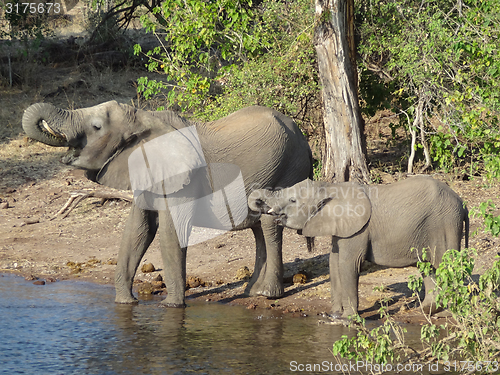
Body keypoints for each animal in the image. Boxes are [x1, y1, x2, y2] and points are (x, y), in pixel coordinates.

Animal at [24, 100, 312, 306]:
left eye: (96, 127)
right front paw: (125, 303)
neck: (145, 118)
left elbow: (170, 233)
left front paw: (171, 307)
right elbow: (137, 231)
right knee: (258, 230)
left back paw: (268, 295)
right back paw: (252, 292)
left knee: (269, 226)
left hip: (287, 169)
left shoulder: (183, 180)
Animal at [249, 178, 468, 318]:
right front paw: (333, 315)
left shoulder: (358, 230)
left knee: (447, 266)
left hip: (446, 223)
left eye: (293, 201)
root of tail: (461, 202)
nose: (261, 205)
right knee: (429, 268)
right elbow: (334, 263)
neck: (330, 187)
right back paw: (426, 310)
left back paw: (447, 314)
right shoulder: (341, 227)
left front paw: (347, 318)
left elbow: (348, 264)